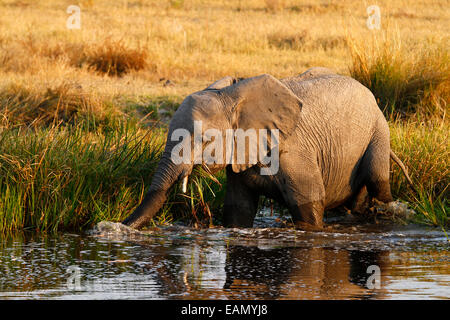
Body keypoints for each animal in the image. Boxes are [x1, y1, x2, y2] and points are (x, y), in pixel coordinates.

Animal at [122, 67, 412, 230]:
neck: (231, 96)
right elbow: (238, 210)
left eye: (204, 140)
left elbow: (309, 206)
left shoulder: (295, 152)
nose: (117, 227)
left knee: (377, 182)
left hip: (378, 131)